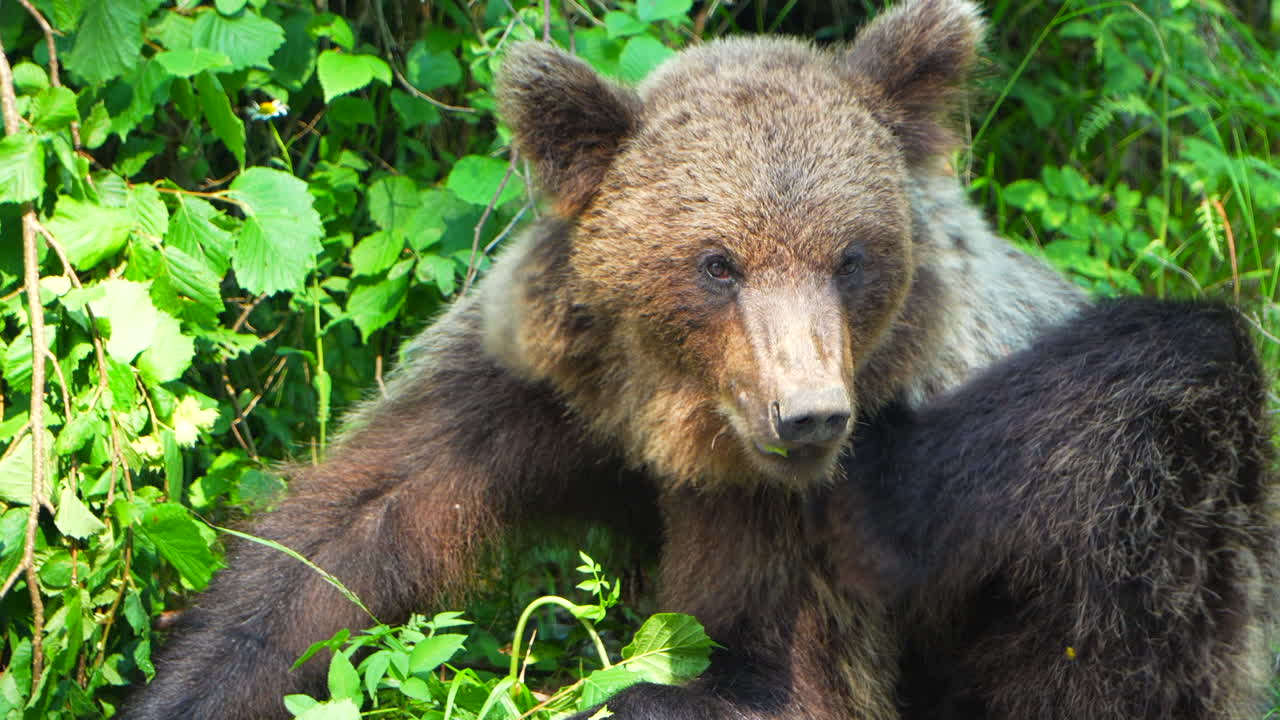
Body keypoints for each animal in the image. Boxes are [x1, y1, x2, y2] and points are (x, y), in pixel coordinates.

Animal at [123, 0, 1277, 718]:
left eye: (851, 256)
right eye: (715, 262)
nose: (806, 414)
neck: (673, 418)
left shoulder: (805, 516)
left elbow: (777, 682)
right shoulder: (533, 385)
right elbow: (336, 542)